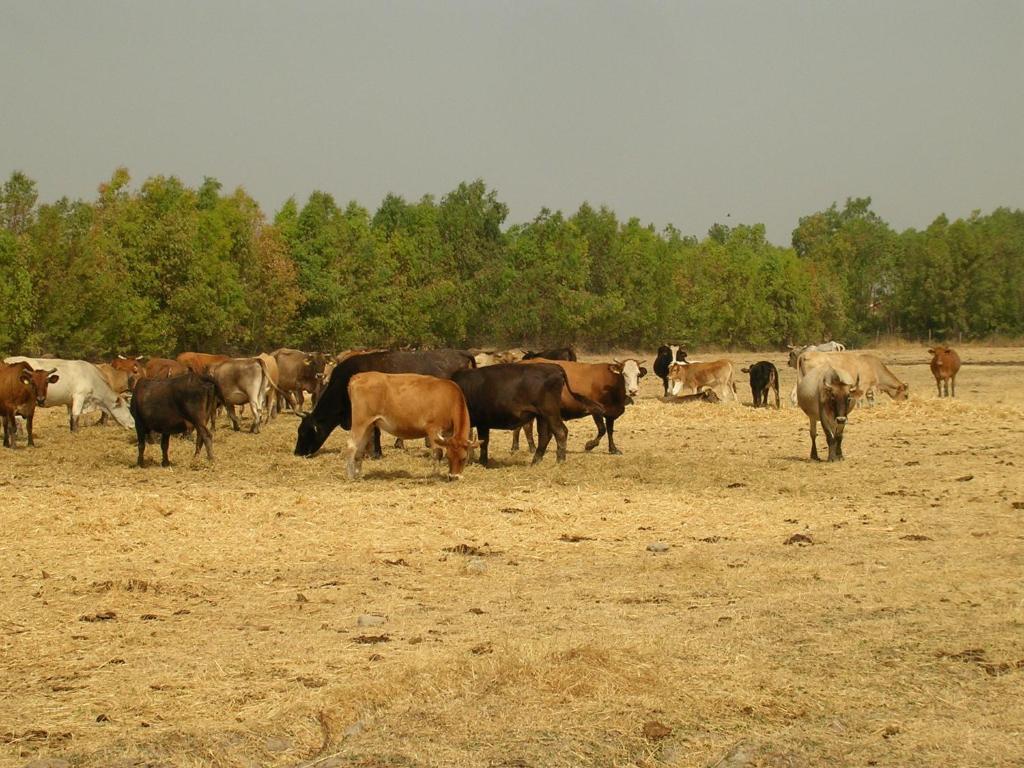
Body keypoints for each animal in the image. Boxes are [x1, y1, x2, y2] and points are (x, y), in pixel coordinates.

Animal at [2, 356, 136, 430]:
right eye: (127, 408)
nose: (133, 424)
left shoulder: (69, 401)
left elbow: (70, 418)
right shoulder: (79, 396)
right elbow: (76, 416)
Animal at [339, 374, 475, 481]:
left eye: (464, 458)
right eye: (449, 457)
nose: (453, 477)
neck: (448, 398)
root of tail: (358, 377)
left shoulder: (447, 433)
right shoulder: (433, 429)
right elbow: (437, 453)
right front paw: (435, 475)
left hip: (368, 425)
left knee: (360, 448)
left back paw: (358, 474)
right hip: (360, 422)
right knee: (351, 445)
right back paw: (350, 475)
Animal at [448, 364, 598, 466]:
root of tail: (555, 368)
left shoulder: (481, 422)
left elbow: (482, 441)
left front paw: (479, 461)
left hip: (549, 413)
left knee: (560, 432)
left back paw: (559, 461)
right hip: (542, 416)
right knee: (545, 436)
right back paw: (535, 461)